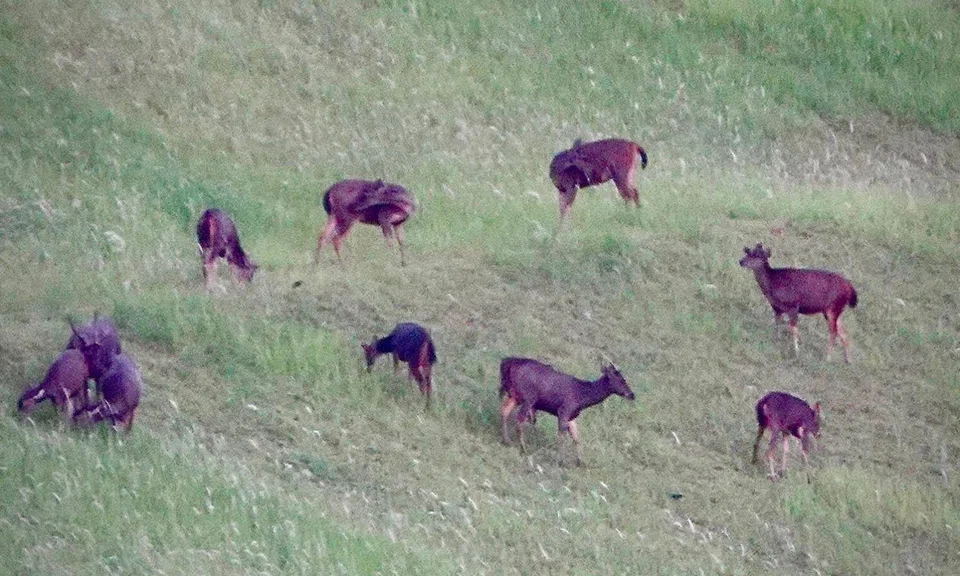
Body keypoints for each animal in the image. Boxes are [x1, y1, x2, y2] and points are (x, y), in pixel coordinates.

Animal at [499, 357, 634, 466]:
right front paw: (561, 461)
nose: (632, 395)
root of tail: (507, 363)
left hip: (515, 396)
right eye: (622, 380)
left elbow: (576, 437)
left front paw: (580, 462)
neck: (583, 397)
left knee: (505, 411)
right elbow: (562, 436)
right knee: (519, 420)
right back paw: (523, 447)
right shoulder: (564, 410)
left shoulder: (572, 416)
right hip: (528, 398)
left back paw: (506, 440)